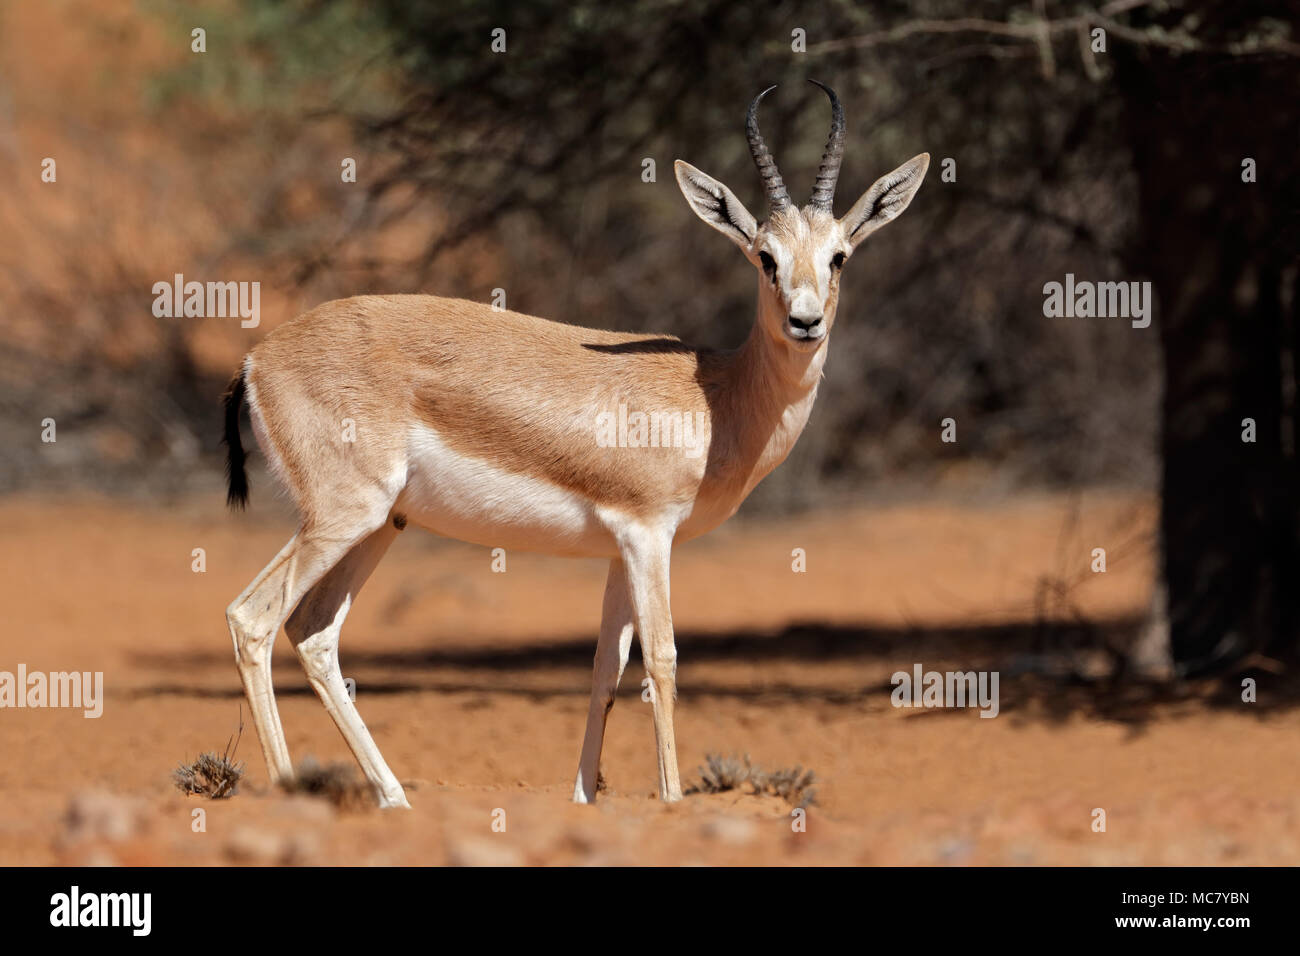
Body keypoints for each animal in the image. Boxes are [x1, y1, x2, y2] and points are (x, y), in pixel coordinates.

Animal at [221, 81, 928, 808]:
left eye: (839, 256)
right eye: (766, 256)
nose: (805, 321)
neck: (715, 395)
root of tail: (257, 358)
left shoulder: (619, 549)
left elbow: (604, 669)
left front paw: (584, 798)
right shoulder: (649, 536)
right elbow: (663, 661)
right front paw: (672, 801)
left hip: (380, 525)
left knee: (313, 633)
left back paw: (393, 797)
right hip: (342, 518)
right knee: (254, 619)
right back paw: (291, 788)